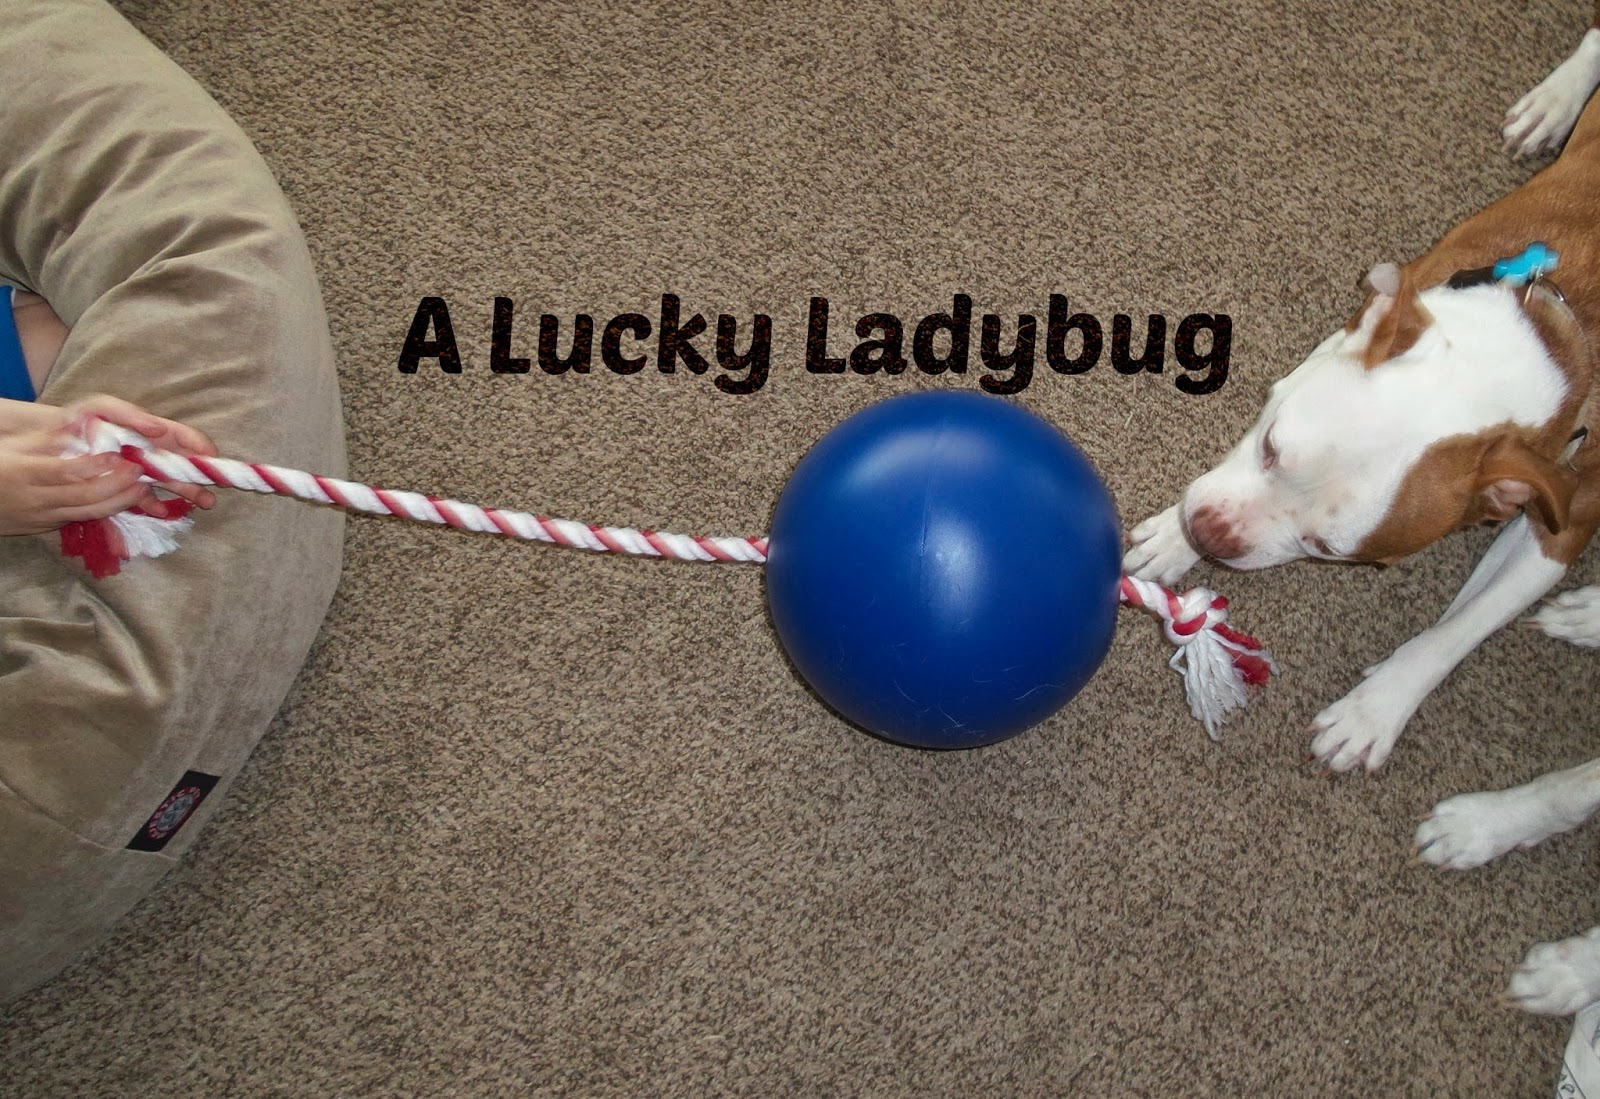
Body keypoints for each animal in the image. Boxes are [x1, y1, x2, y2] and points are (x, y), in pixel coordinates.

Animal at [1123, 11, 1600, 1017]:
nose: (1212, 538)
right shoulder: (1338, 340)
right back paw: (1557, 100)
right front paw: (1169, 538)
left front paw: (1376, 709)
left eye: (1332, 549)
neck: (1562, 330)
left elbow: (1454, 631)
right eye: (1271, 443)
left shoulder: (1561, 520)